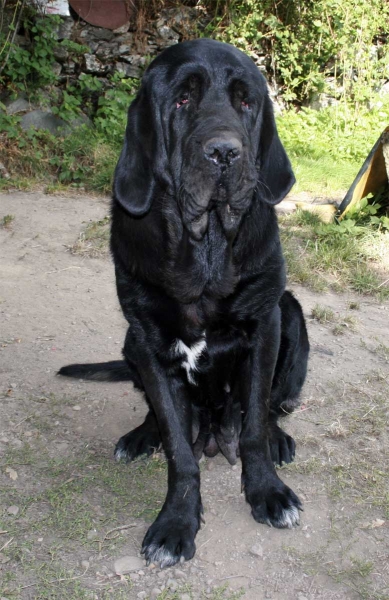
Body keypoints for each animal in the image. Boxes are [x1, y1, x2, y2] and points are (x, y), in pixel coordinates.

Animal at [59, 38, 310, 568]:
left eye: (245, 101)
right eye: (182, 100)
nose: (225, 152)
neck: (206, 251)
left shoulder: (264, 327)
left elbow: (254, 423)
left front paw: (267, 492)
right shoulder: (151, 346)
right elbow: (178, 447)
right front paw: (176, 521)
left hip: (293, 315)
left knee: (273, 406)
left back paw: (277, 437)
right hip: (130, 341)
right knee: (159, 417)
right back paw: (141, 436)